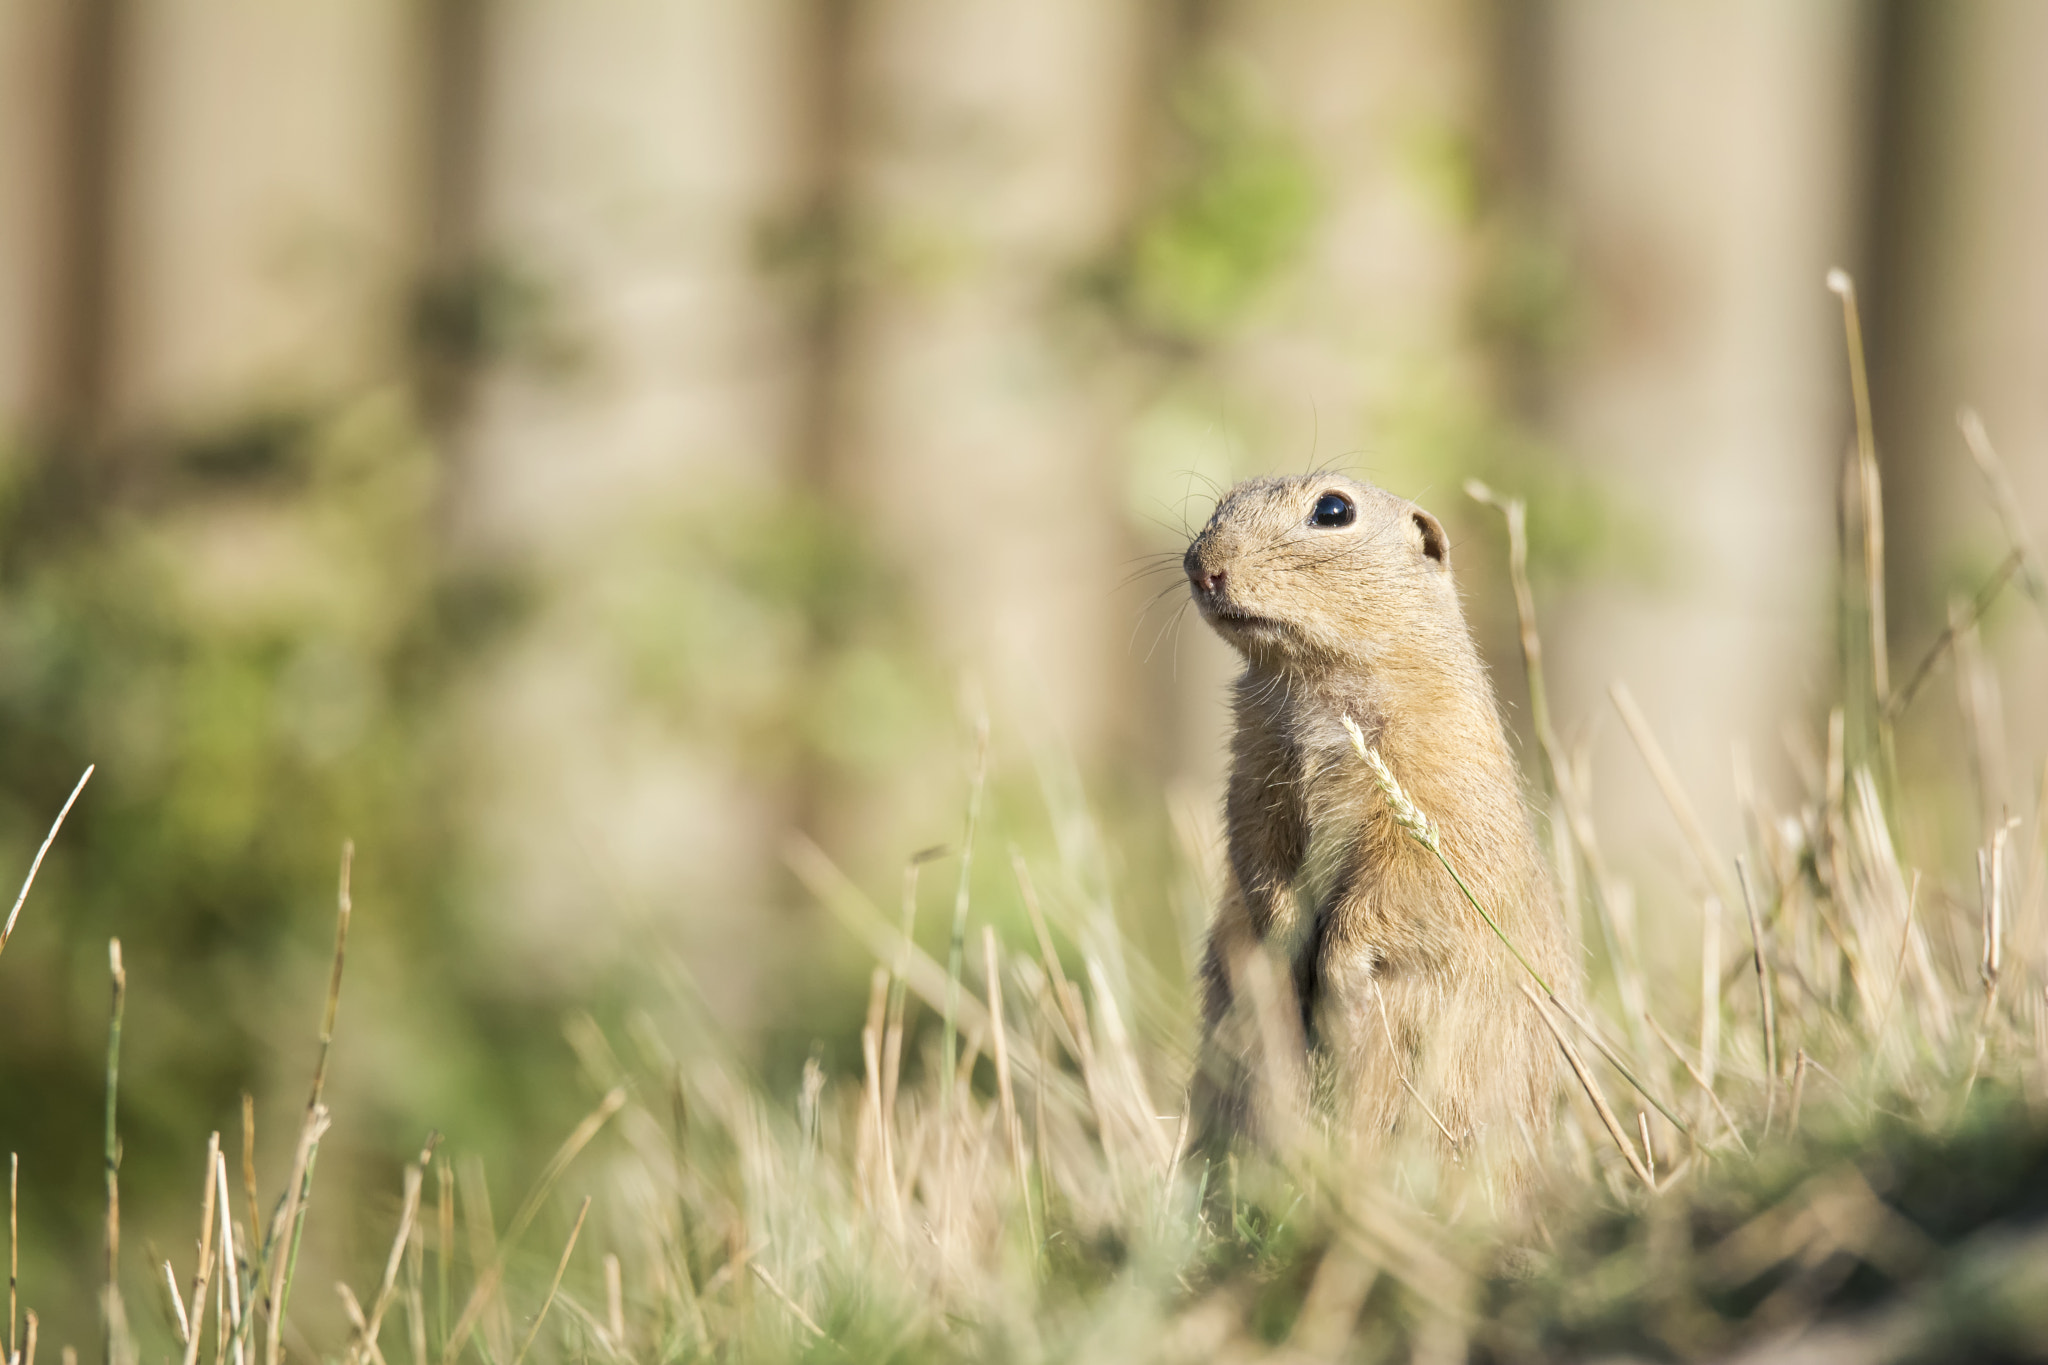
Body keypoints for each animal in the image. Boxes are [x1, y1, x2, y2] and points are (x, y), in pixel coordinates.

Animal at [1183, 473, 1571, 1184]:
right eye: (1223, 501)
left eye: (1333, 510)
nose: (1201, 566)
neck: (1316, 686)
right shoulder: (1254, 786)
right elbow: (1259, 864)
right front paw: (1282, 952)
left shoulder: (1440, 796)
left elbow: (1400, 891)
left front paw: (1338, 979)